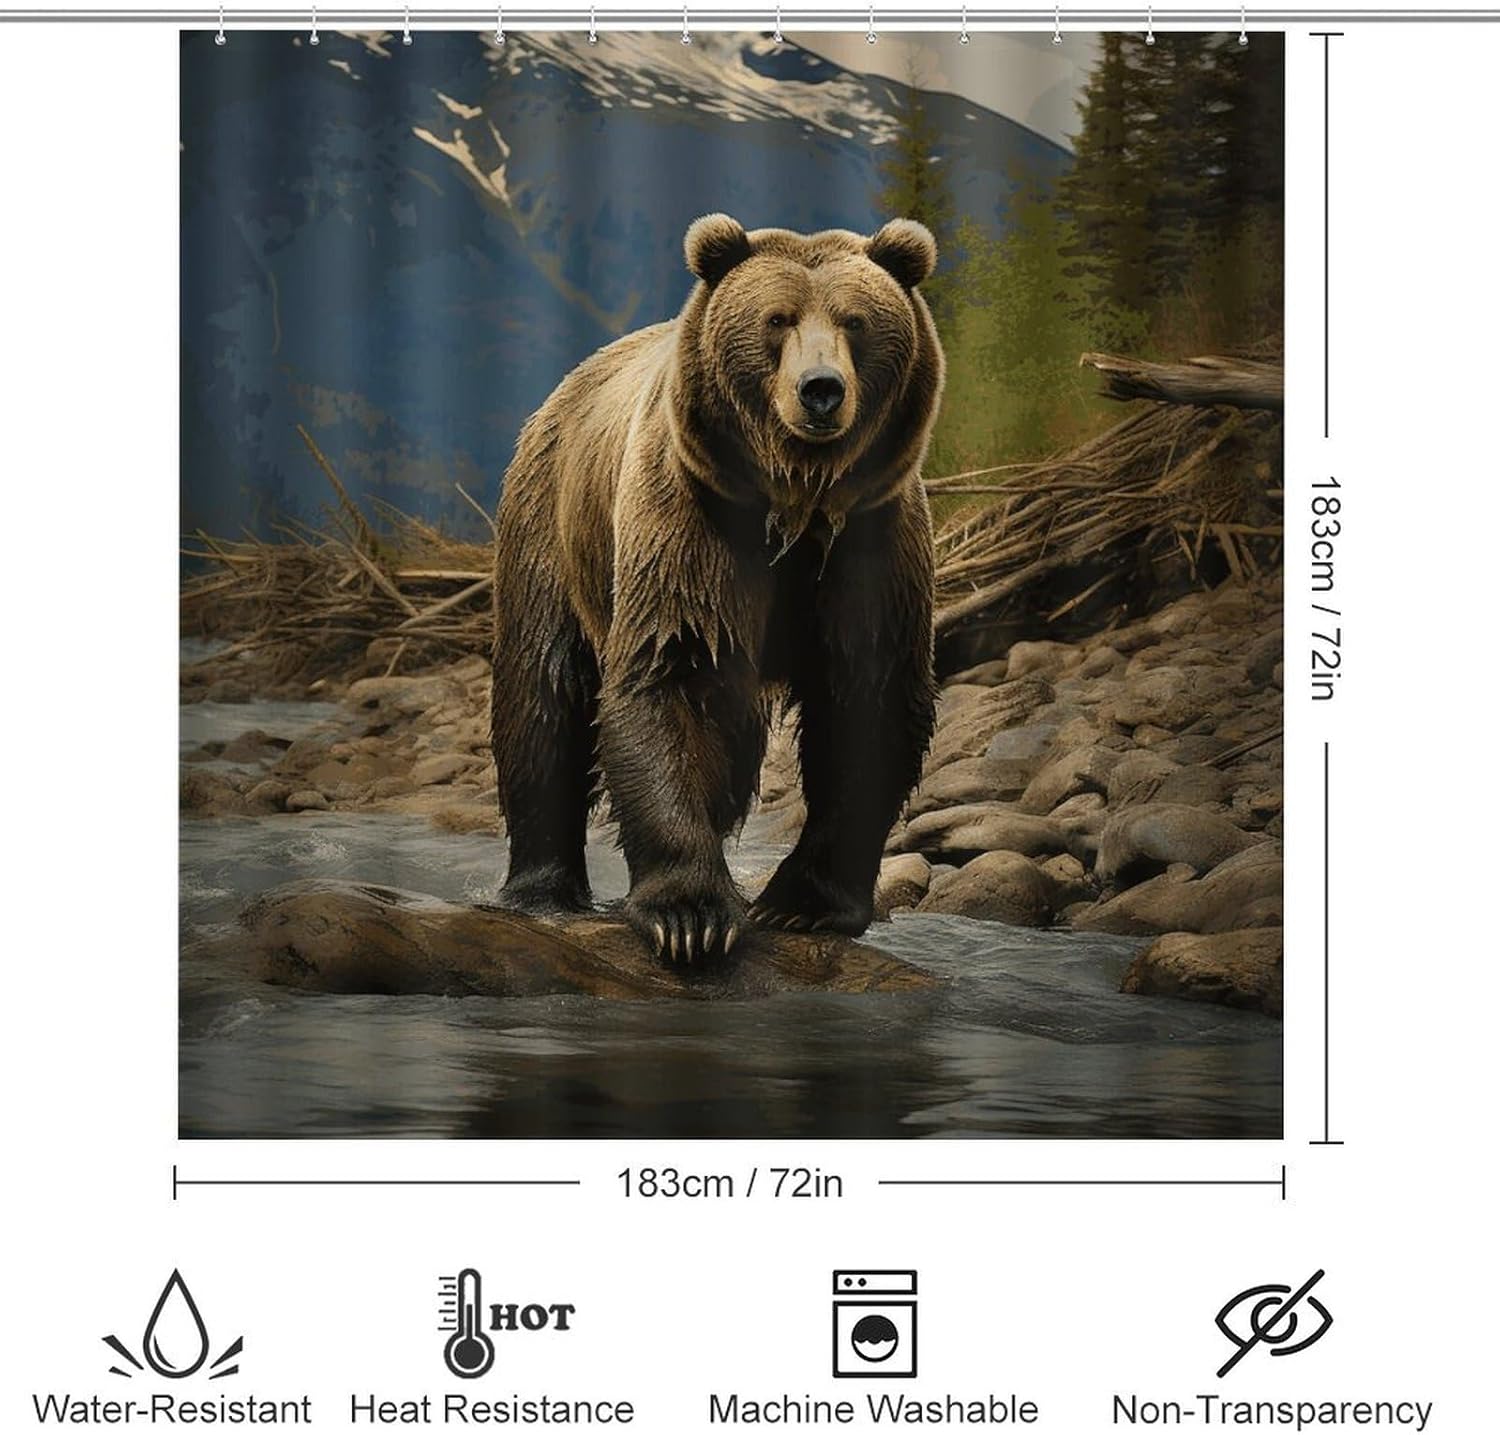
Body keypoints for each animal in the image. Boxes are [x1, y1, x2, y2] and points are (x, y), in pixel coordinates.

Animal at [489, 214, 944, 962]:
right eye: (777, 319)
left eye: (854, 321)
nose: (822, 389)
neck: (796, 504)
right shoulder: (689, 519)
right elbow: (673, 672)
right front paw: (690, 915)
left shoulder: (871, 540)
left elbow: (868, 700)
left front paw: (802, 904)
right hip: (551, 525)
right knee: (541, 693)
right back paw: (541, 888)